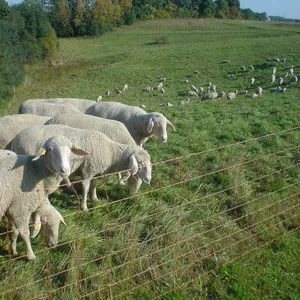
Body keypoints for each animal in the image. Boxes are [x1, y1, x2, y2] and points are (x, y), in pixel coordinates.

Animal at [11, 125, 152, 212]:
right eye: (140, 163)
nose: (149, 180)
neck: (111, 152)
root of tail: (16, 139)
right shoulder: (88, 170)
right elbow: (85, 187)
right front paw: (84, 206)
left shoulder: (95, 171)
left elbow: (94, 185)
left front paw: (94, 199)